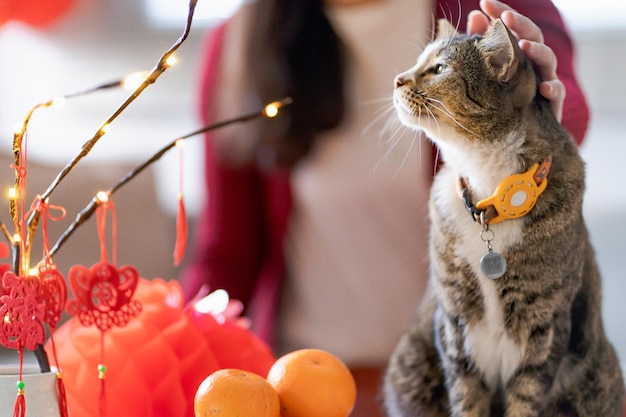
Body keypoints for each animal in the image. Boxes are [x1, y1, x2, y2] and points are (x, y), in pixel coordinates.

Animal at [382, 17, 620, 414]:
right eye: (418, 64)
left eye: (439, 69)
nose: (397, 79)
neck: (490, 191)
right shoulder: (455, 320)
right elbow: (466, 394)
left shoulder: (546, 321)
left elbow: (526, 397)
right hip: (409, 363)